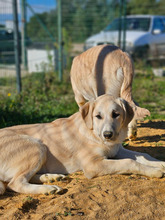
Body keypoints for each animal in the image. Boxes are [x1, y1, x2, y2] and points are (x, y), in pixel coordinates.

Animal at [0, 95, 165, 195]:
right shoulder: (93, 165)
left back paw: (51, 178)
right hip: (37, 146)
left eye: (116, 114)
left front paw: (160, 164)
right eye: (98, 116)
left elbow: (143, 155)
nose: (108, 135)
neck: (94, 133)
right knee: (15, 183)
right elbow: (129, 162)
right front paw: (153, 171)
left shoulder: (117, 150)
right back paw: (48, 188)